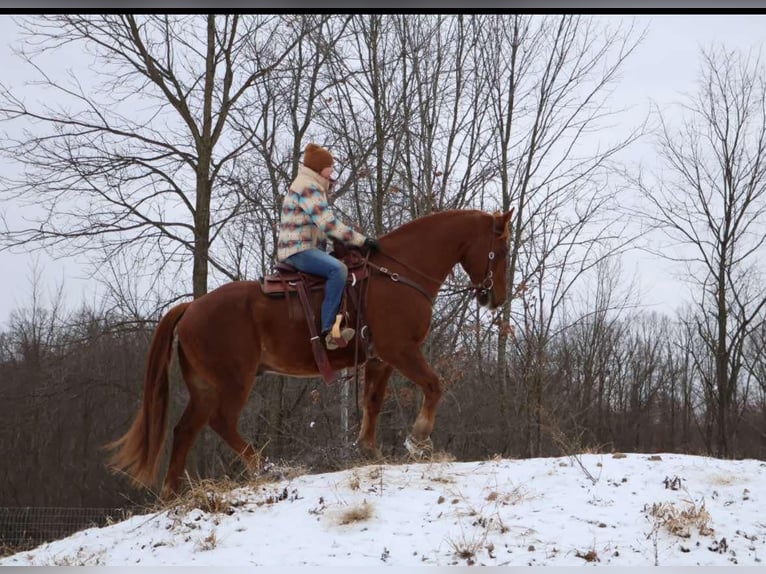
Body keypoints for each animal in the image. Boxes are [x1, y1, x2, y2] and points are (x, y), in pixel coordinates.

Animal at [106, 208, 514, 495]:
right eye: (502, 249)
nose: (495, 298)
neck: (396, 274)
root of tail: (191, 308)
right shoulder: (400, 351)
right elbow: (433, 385)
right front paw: (418, 438)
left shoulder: (380, 360)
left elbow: (372, 403)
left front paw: (369, 450)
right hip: (234, 380)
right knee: (221, 421)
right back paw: (266, 467)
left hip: (204, 387)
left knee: (185, 430)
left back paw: (172, 494)